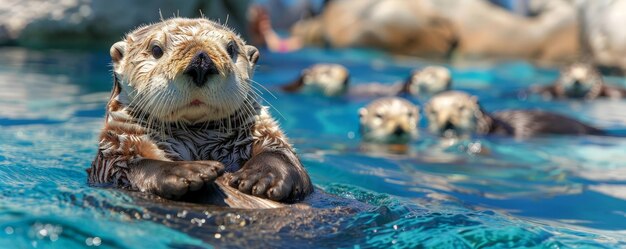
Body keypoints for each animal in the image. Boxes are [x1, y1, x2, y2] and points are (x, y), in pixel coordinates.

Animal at [86, 18, 312, 208]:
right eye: (156, 49)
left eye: (231, 48)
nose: (202, 63)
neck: (196, 139)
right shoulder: (115, 149)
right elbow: (127, 166)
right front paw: (189, 171)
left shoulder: (263, 132)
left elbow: (280, 152)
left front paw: (262, 177)